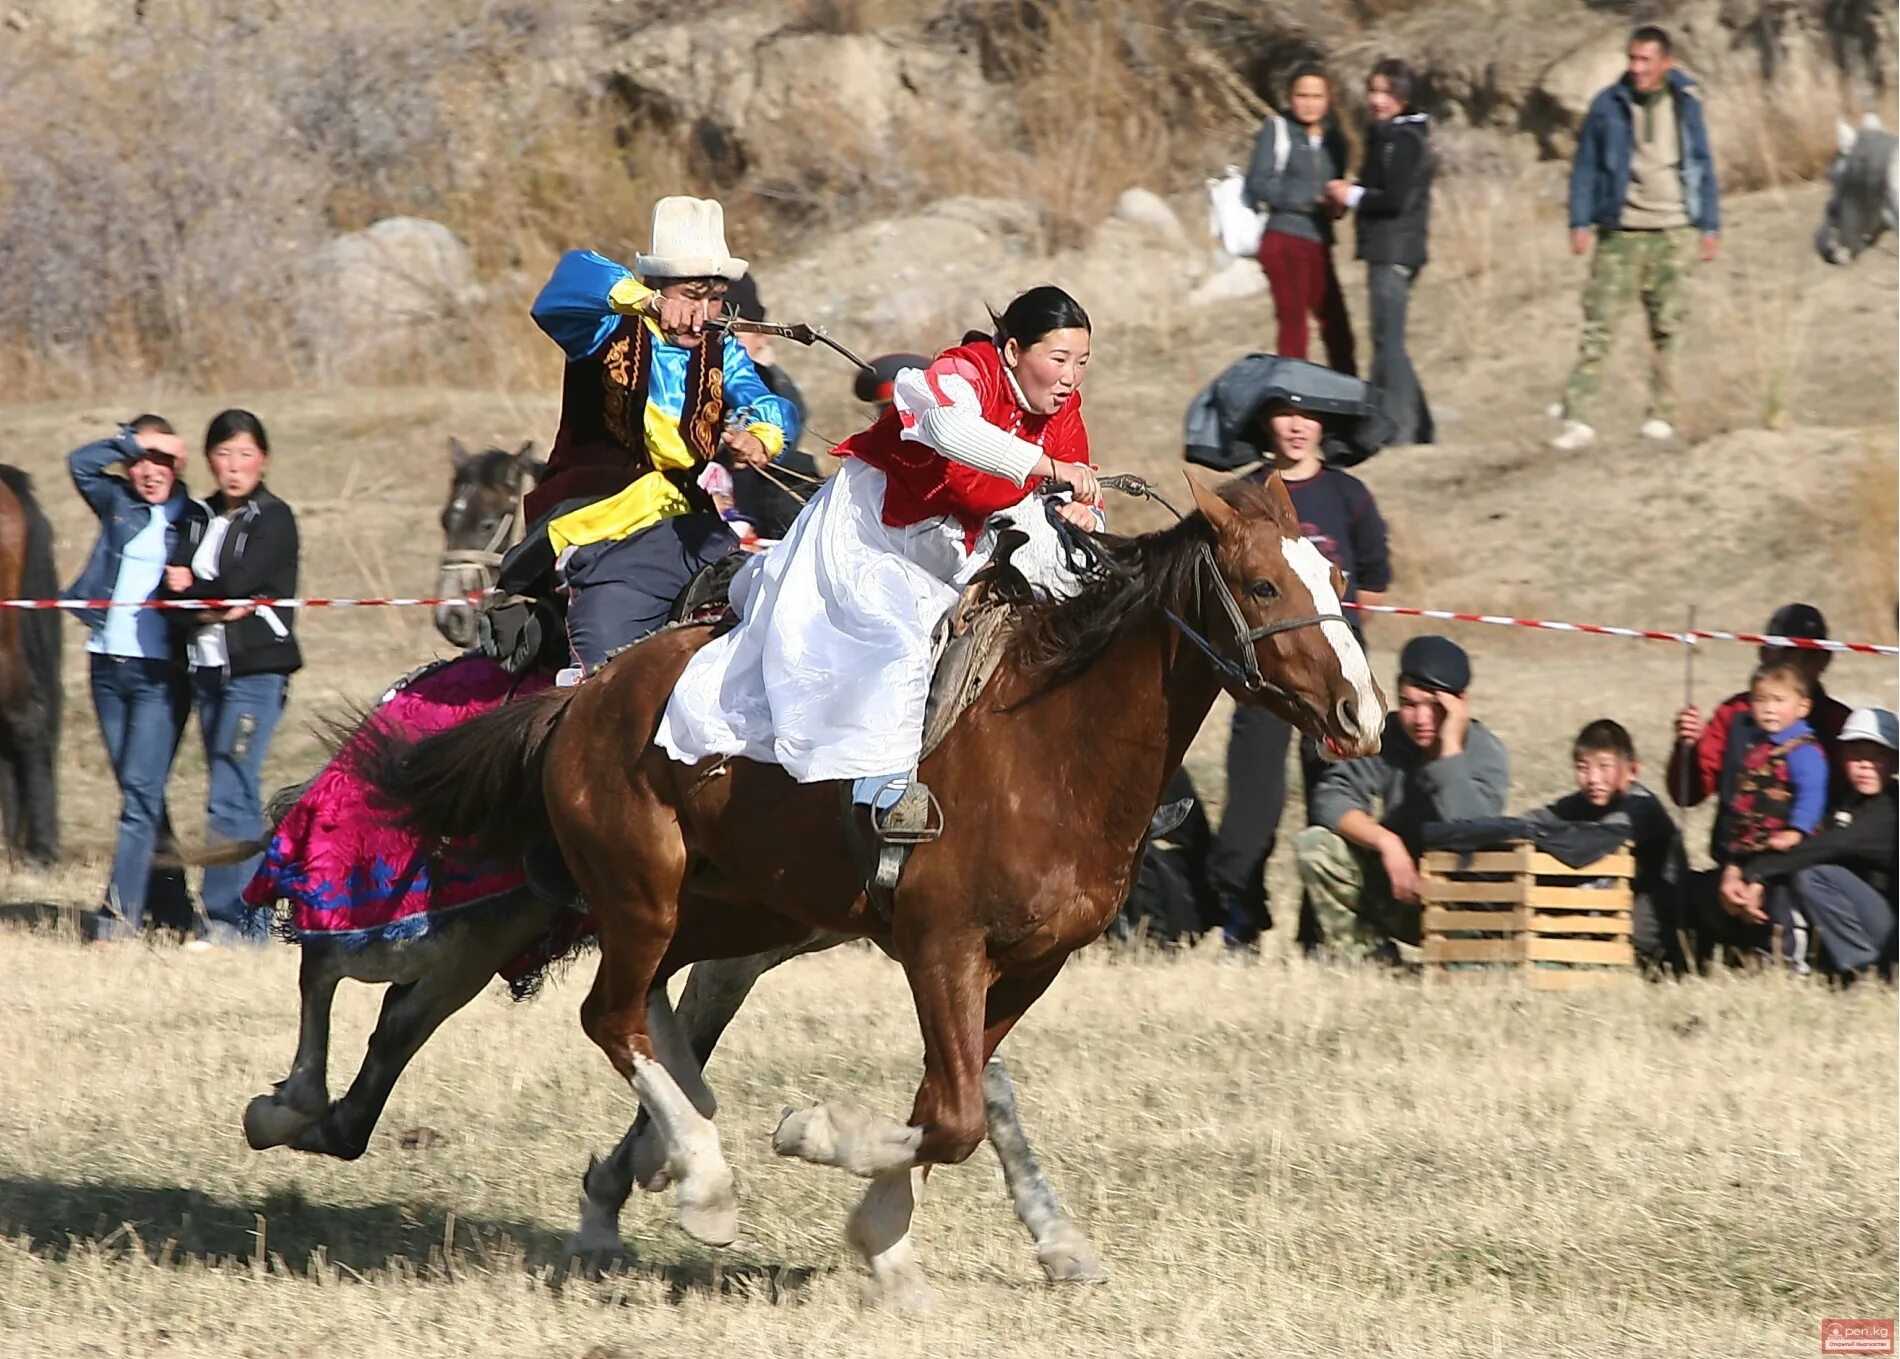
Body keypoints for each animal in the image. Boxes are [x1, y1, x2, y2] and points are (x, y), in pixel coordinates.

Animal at [370, 475, 1383, 1307]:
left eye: (1334, 579)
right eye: (1263, 587)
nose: (1363, 716)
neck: (1051, 741)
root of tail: (582, 696)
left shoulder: (1027, 966)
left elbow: (948, 1102)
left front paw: (889, 1241)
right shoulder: (942, 947)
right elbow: (957, 1113)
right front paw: (813, 1137)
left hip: (731, 906)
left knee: (656, 1007)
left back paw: (664, 1151)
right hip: (642, 895)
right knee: (610, 1017)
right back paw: (703, 1178)